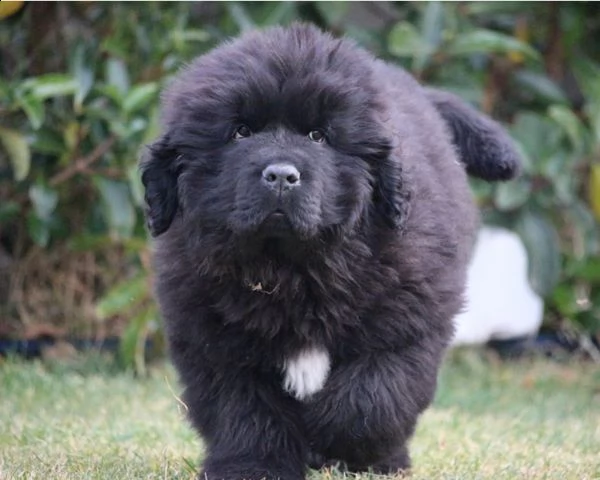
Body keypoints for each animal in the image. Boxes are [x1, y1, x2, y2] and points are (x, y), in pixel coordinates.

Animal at [141, 23, 520, 480]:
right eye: (240, 132)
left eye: (318, 136)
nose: (281, 176)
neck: (290, 268)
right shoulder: (214, 338)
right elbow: (245, 410)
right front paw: (253, 467)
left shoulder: (407, 323)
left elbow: (370, 399)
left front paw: (333, 444)